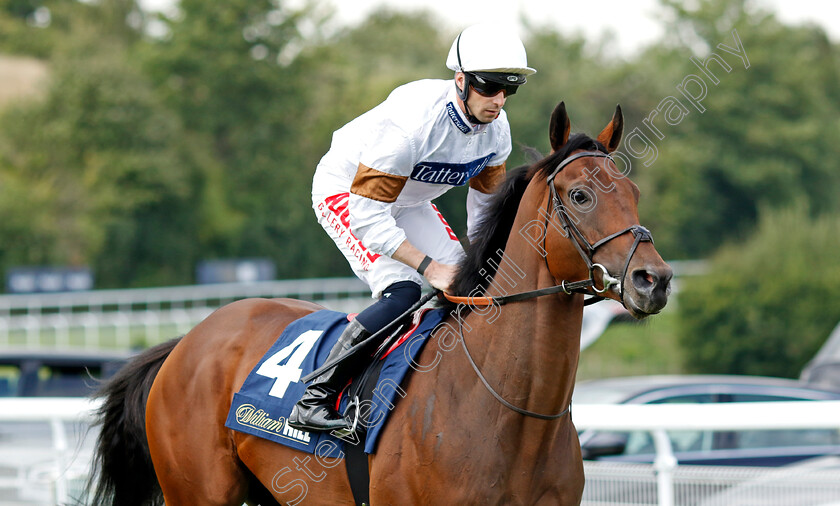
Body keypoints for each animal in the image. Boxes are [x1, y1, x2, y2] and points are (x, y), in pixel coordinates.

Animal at [88, 103, 672, 506]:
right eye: (580, 195)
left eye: (635, 192)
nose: (655, 280)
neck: (511, 411)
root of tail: (186, 340)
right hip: (198, 491)